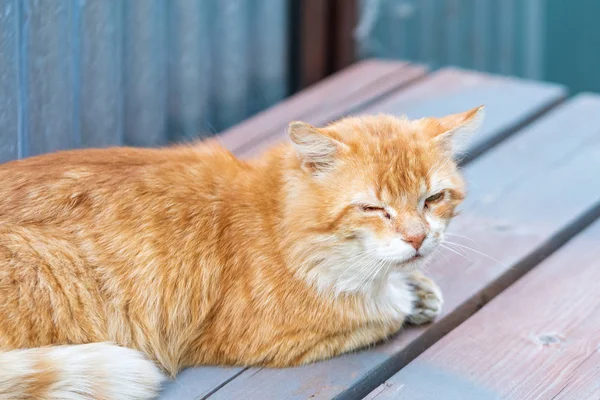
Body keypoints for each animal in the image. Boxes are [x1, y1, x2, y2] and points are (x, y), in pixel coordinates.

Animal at [0, 107, 480, 400]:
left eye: (433, 199)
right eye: (374, 209)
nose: (417, 239)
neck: (280, 219)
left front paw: (417, 288)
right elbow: (382, 315)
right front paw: (405, 298)